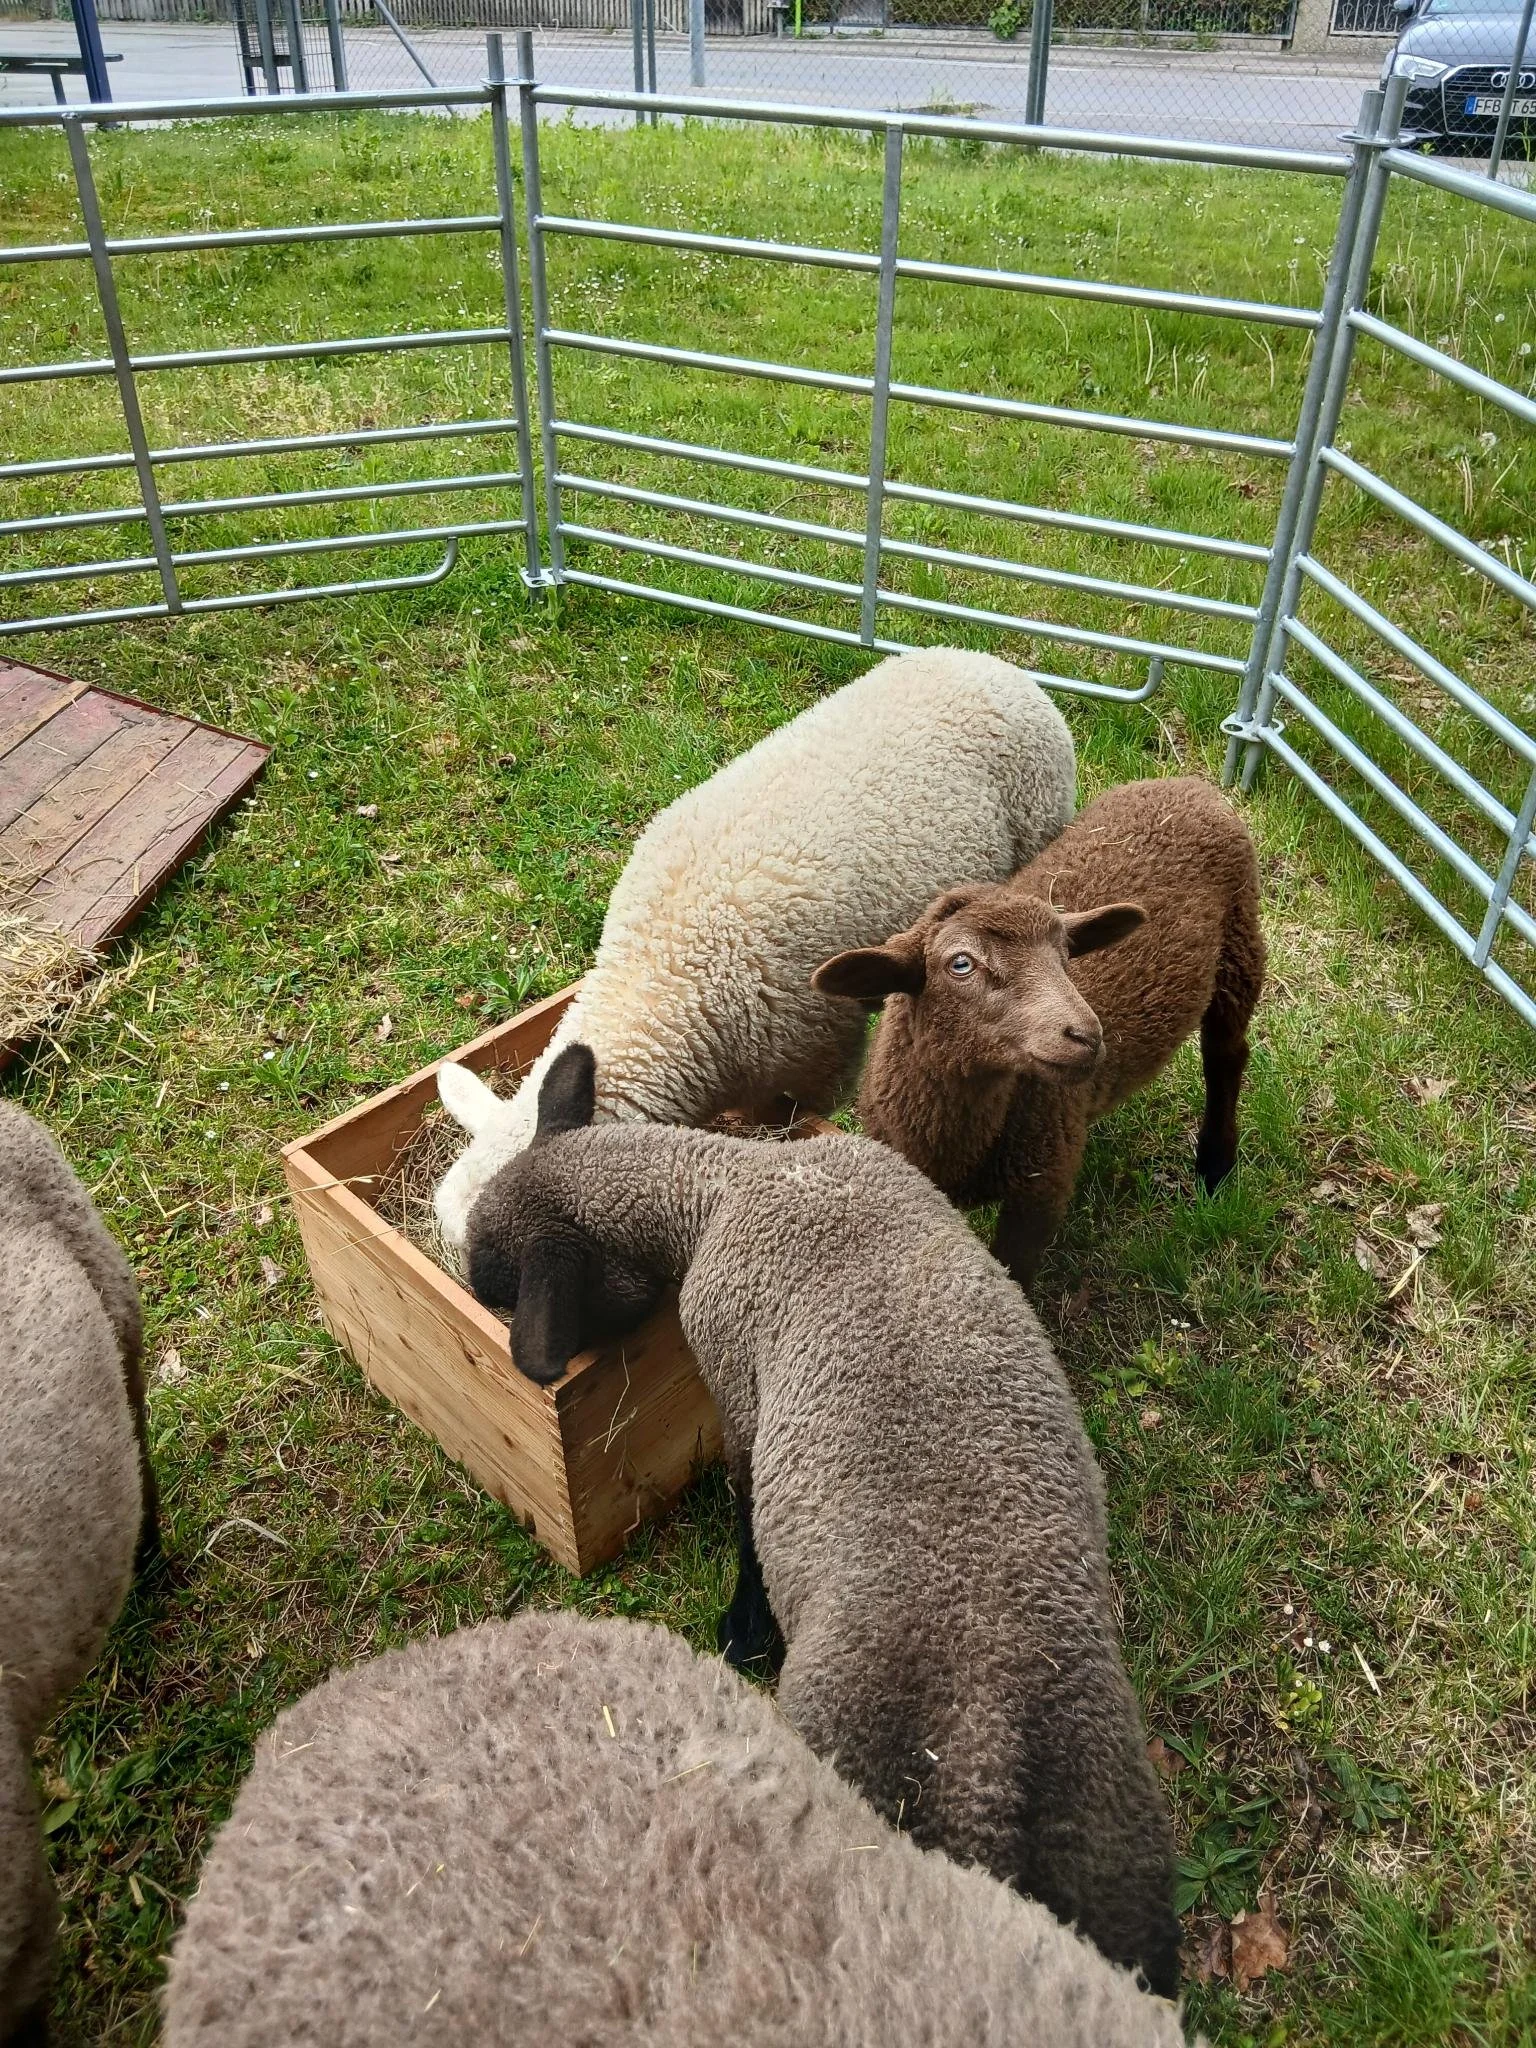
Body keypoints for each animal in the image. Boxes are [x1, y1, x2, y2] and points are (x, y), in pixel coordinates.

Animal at [461, 1045, 1183, 1997]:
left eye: (500, 1275)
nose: (471, 1285)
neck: (723, 1185)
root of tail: (982, 1774)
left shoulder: (734, 1381)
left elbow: (743, 1509)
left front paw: (744, 1631)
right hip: (1121, 1869)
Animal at [813, 776, 1265, 1293]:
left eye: (1066, 954)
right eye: (960, 964)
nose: (1088, 1036)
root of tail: (1188, 784)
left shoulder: (1040, 1192)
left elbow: (1016, 1277)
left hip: (1240, 945)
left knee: (1226, 1054)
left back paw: (1215, 1165)